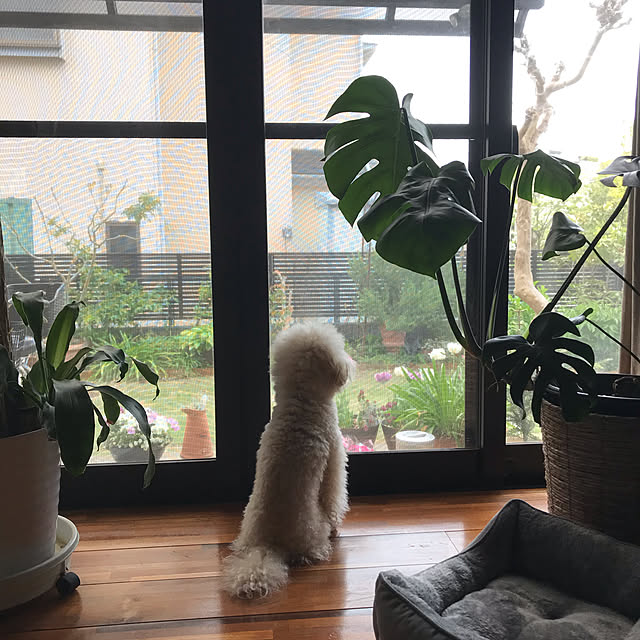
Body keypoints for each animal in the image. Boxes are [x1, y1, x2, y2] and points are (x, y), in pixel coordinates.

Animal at [222, 323, 355, 598]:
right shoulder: (335, 459)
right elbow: (334, 495)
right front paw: (337, 526)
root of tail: (268, 546)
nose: (349, 363)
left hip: (246, 521)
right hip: (313, 529)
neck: (301, 402)